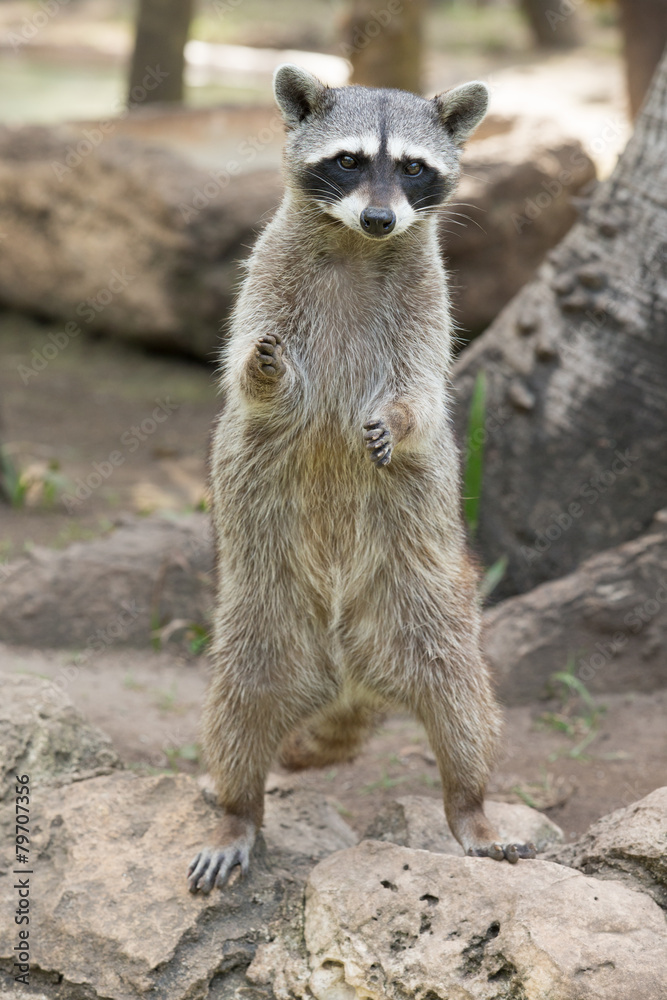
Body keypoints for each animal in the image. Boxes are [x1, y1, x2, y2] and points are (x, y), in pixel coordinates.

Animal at [187, 65, 536, 893]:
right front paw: (263, 375)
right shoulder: (265, 278)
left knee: (464, 708)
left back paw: (469, 805)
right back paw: (236, 809)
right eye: (347, 161)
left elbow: (421, 389)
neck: (352, 244)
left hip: (429, 611)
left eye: (411, 168)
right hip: (258, 624)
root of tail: (347, 676)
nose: (381, 218)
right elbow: (244, 375)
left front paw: (399, 419)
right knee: (236, 714)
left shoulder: (428, 301)